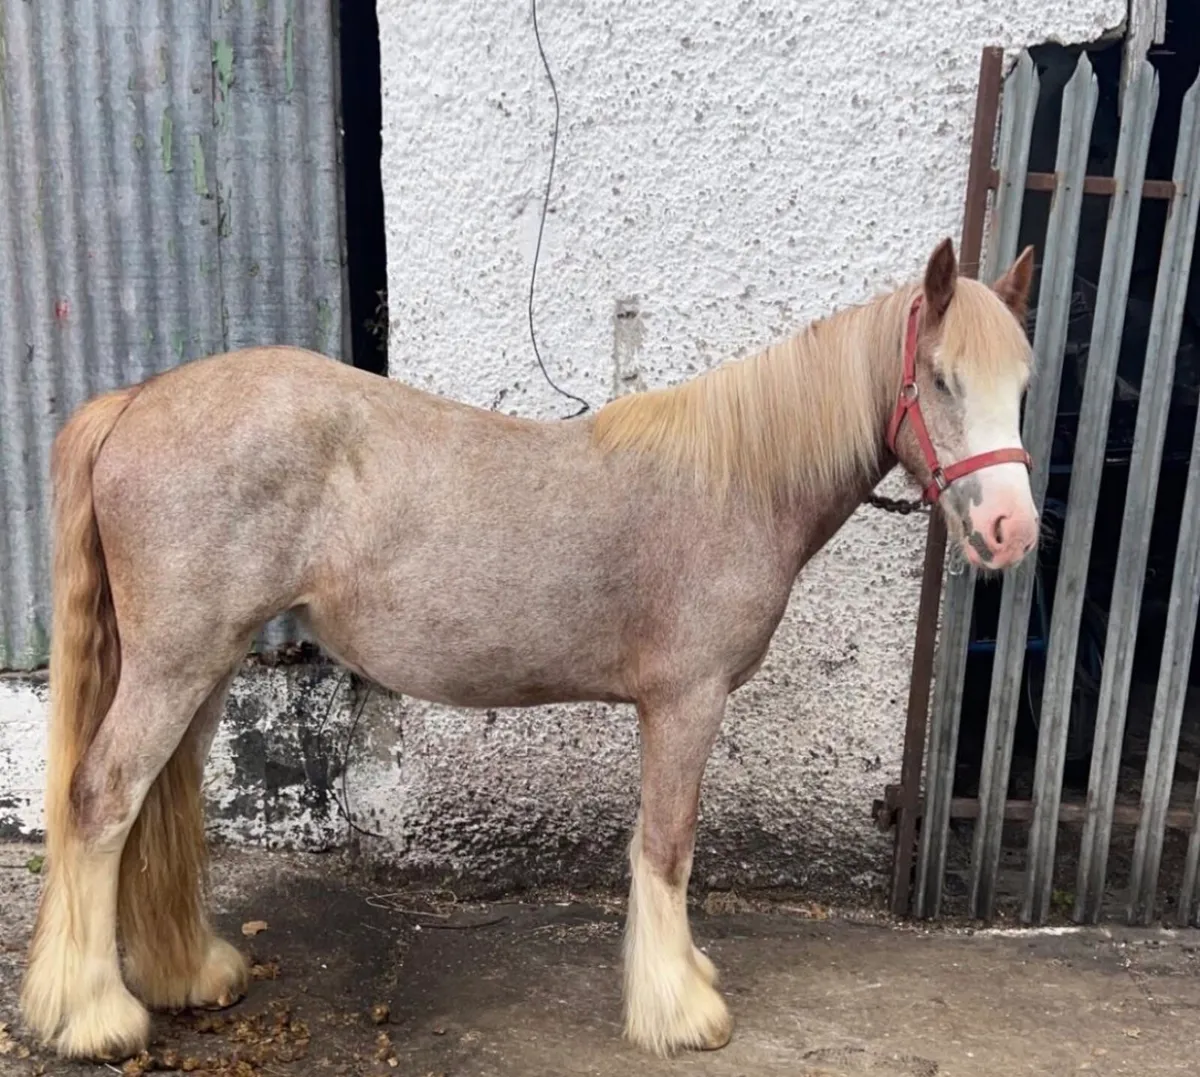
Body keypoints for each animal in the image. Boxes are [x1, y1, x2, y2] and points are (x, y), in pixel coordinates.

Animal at [20, 236, 1038, 1061]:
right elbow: (667, 845)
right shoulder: (687, 700)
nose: (1012, 529)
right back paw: (96, 1017)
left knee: (159, 801)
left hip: (204, 665)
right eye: (940, 378)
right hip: (176, 664)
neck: (733, 481)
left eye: (1023, 387)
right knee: (103, 800)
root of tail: (137, 401)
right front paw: (679, 1010)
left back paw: (188, 972)